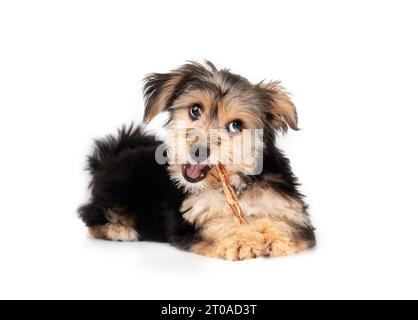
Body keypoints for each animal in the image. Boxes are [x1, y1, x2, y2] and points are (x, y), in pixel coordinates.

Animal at [78, 60, 316, 260]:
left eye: (236, 125)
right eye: (195, 110)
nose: (198, 151)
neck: (236, 184)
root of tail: (112, 155)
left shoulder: (290, 210)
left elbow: (286, 225)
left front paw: (275, 236)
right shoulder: (189, 221)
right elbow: (216, 225)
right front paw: (241, 239)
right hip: (121, 188)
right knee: (93, 215)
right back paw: (120, 229)